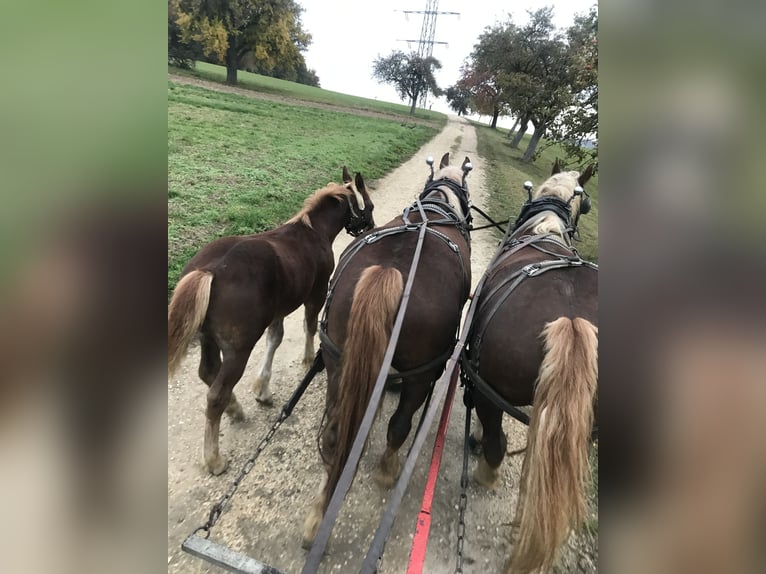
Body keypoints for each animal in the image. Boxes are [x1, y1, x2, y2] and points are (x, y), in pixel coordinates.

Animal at [167, 168, 376, 476]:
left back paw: (235, 409)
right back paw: (214, 458)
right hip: (238, 350)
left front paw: (262, 390)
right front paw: (307, 360)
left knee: (208, 372)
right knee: (215, 394)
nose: (371, 227)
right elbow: (309, 326)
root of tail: (208, 271)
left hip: (207, 339)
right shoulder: (316, 294)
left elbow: (275, 339)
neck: (312, 232)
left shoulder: (278, 310)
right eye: (368, 205)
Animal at [302, 153, 474, 548]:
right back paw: (387, 468)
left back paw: (317, 517)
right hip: (423, 374)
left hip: (337, 361)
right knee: (399, 426)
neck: (438, 205)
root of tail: (389, 271)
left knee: (334, 434)